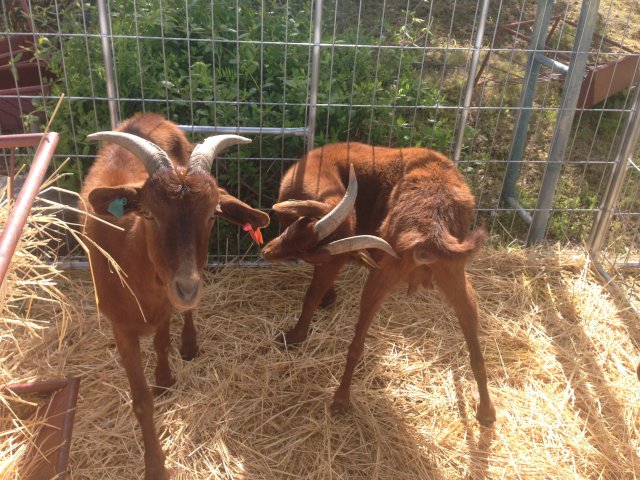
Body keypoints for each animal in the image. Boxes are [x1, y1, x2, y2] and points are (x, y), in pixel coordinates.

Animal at [80, 113, 270, 480]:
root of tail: (148, 117)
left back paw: (190, 343)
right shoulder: (120, 326)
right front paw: (155, 465)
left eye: (212, 215)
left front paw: (165, 379)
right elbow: (141, 400)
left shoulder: (165, 305)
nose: (187, 288)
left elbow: (162, 343)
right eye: (150, 214)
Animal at [262, 141, 498, 426]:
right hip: (455, 277)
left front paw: (294, 337)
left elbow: (312, 294)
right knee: (475, 346)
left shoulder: (333, 261)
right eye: (297, 228)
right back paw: (486, 411)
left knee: (356, 344)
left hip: (383, 277)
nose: (267, 252)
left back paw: (340, 400)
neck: (325, 165)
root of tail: (433, 229)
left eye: (306, 250)